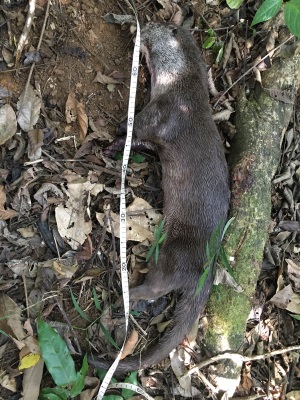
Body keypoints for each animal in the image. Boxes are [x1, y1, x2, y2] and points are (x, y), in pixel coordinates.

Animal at [89, 21, 230, 372]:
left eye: (163, 27)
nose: (142, 23)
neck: (180, 89)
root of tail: (206, 271)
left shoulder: (164, 113)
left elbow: (139, 127)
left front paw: (117, 134)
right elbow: (142, 142)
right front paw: (116, 147)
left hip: (173, 253)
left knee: (157, 285)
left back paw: (126, 293)